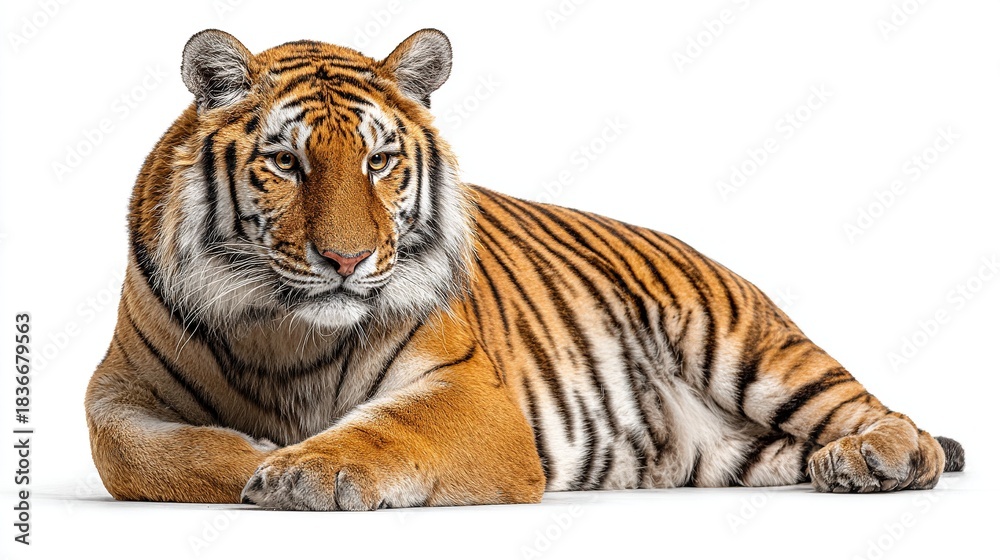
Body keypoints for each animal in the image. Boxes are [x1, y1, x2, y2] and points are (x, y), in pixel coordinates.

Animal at [84, 28, 964, 510]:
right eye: (285, 163)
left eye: (378, 161)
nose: (347, 259)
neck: (282, 331)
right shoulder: (114, 394)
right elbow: (145, 456)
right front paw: (261, 458)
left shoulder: (471, 391)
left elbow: (389, 427)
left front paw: (303, 467)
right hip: (731, 451)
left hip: (749, 347)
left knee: (888, 420)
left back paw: (870, 458)